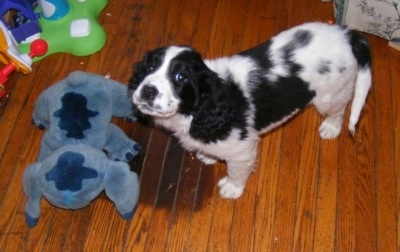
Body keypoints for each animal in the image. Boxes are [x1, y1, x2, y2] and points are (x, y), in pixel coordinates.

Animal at [129, 22, 372, 199]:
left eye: (180, 78)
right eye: (150, 67)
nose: (148, 91)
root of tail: (348, 34)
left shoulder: (241, 150)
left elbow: (236, 170)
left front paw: (232, 189)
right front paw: (208, 155)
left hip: (329, 95)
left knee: (340, 109)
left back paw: (331, 127)